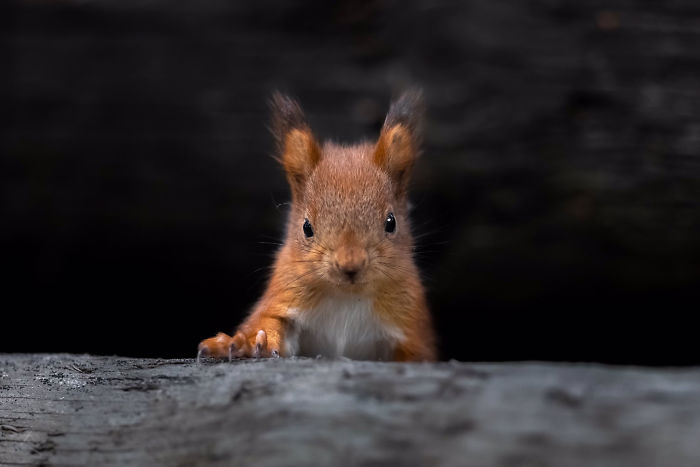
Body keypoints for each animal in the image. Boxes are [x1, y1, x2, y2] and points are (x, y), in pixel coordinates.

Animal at [197, 90, 436, 362]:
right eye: (306, 227)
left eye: (391, 222)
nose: (350, 266)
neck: (346, 297)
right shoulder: (284, 294)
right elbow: (268, 324)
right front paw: (240, 343)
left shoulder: (409, 321)